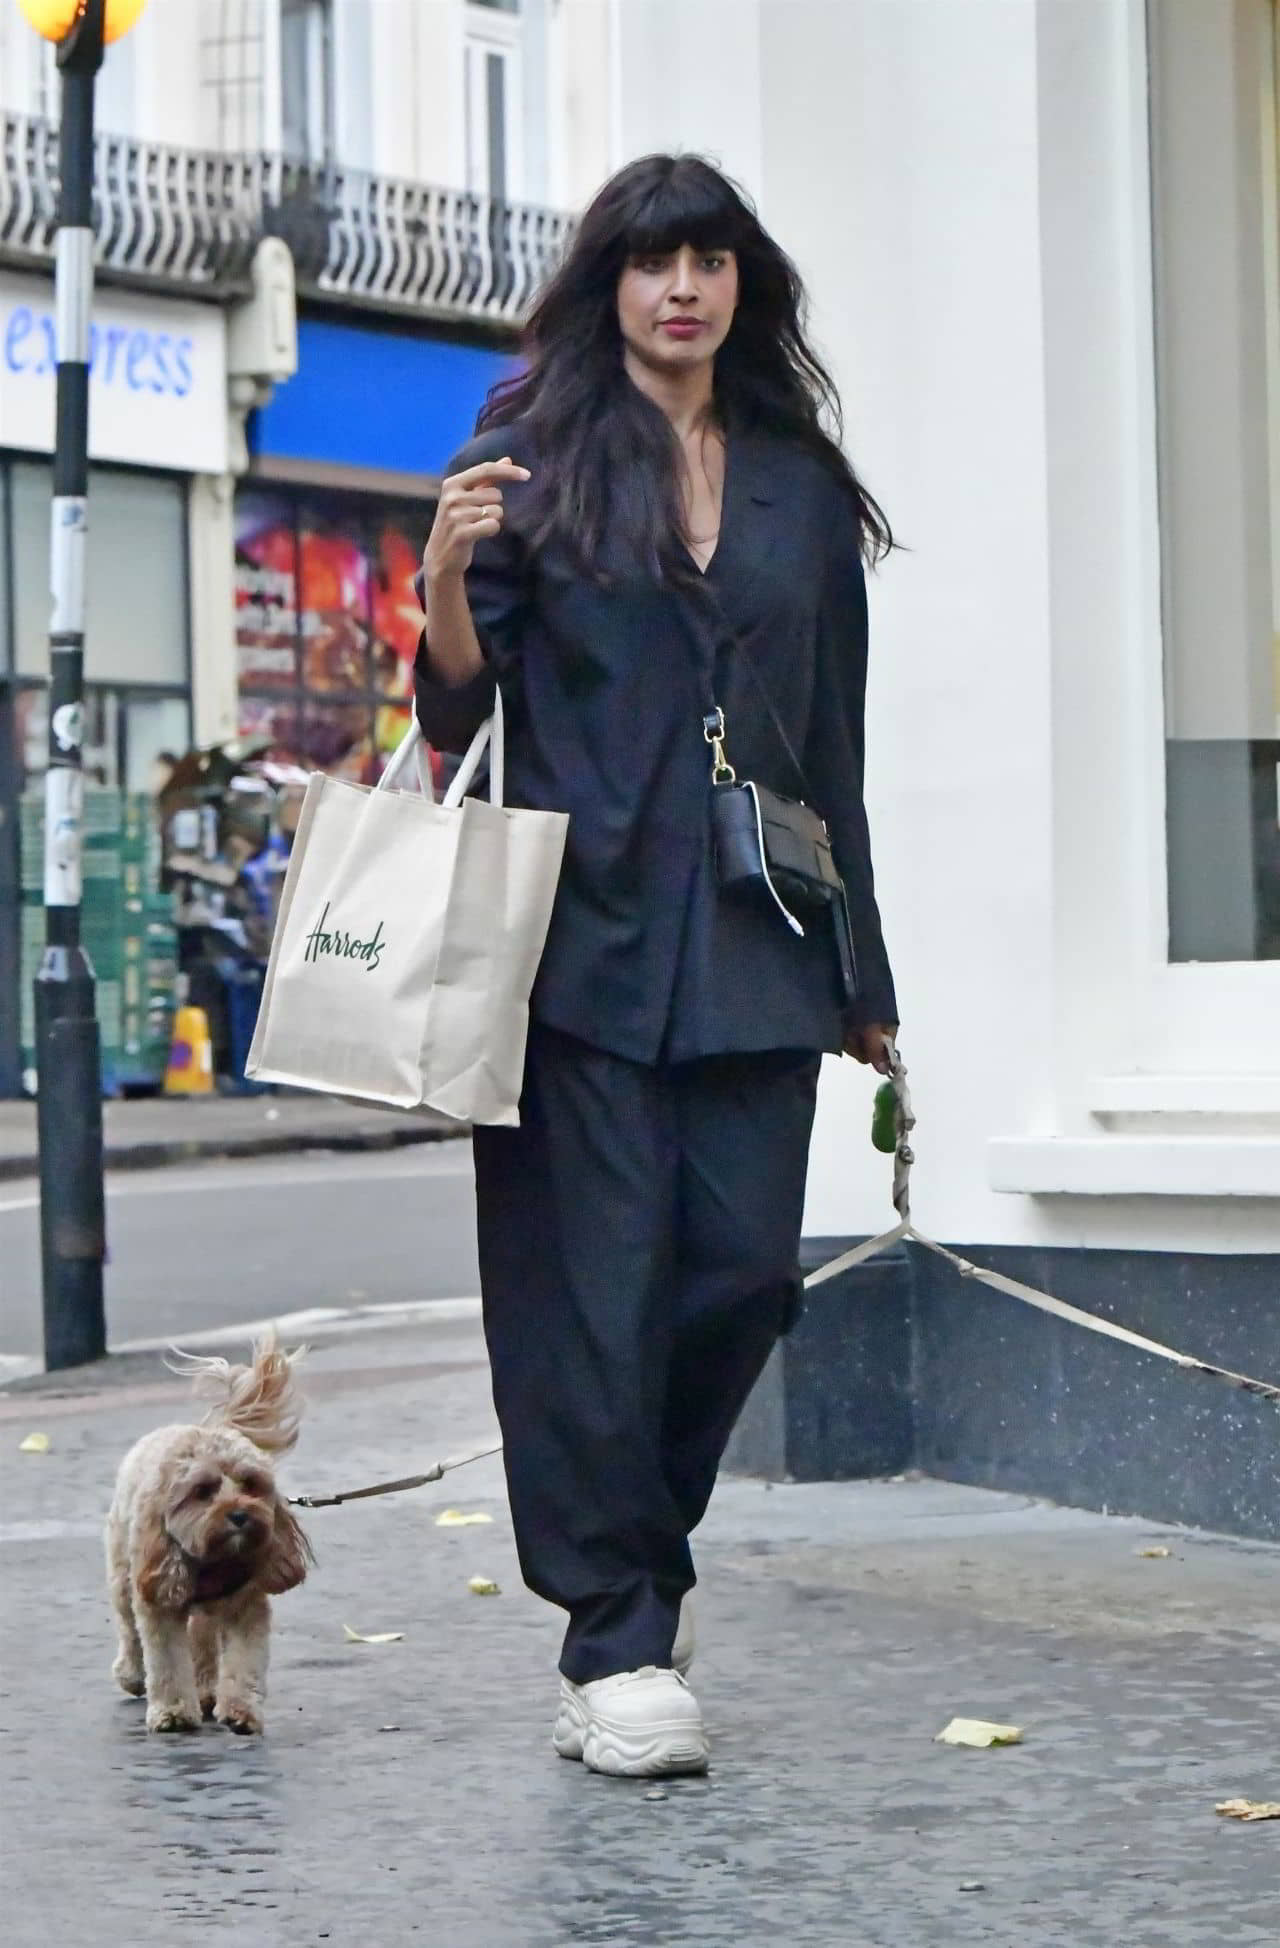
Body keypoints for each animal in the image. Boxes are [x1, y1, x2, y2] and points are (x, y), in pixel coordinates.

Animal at [106, 1340, 311, 1737]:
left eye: (251, 1484)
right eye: (202, 1491)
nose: (240, 1515)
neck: (213, 1563)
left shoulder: (245, 1605)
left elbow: (244, 1660)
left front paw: (240, 1710)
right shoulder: (158, 1598)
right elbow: (167, 1661)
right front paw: (172, 1712)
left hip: (204, 1611)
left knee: (201, 1641)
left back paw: (204, 1689)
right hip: (124, 1576)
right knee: (128, 1627)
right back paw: (132, 1674)